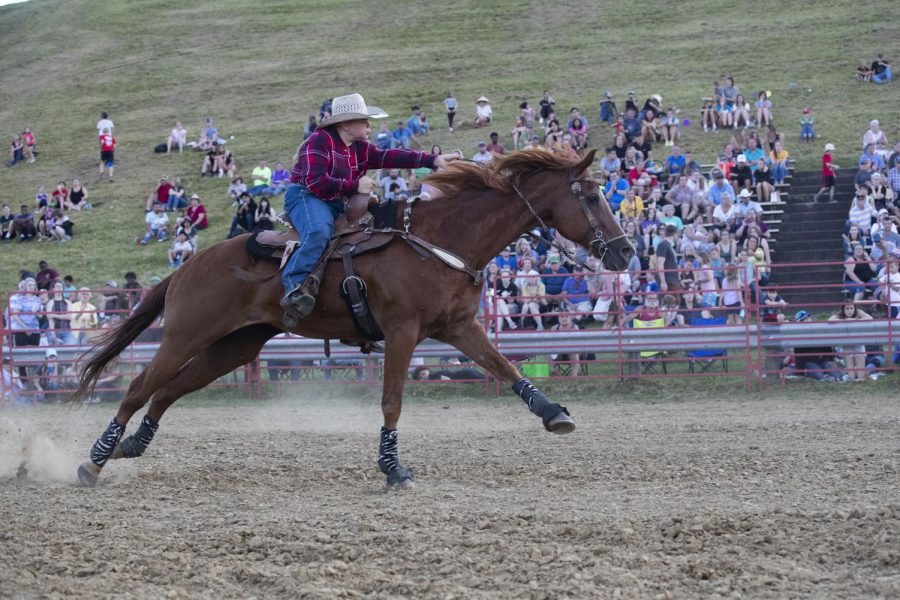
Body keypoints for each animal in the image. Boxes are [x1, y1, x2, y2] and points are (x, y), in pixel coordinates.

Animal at [74, 148, 628, 490]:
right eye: (590, 195)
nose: (625, 253)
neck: (441, 239)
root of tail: (189, 265)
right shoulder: (403, 333)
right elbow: (392, 402)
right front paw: (393, 469)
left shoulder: (458, 327)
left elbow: (505, 367)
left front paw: (553, 413)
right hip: (185, 335)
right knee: (141, 387)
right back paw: (94, 461)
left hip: (235, 345)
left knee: (169, 391)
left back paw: (130, 447)